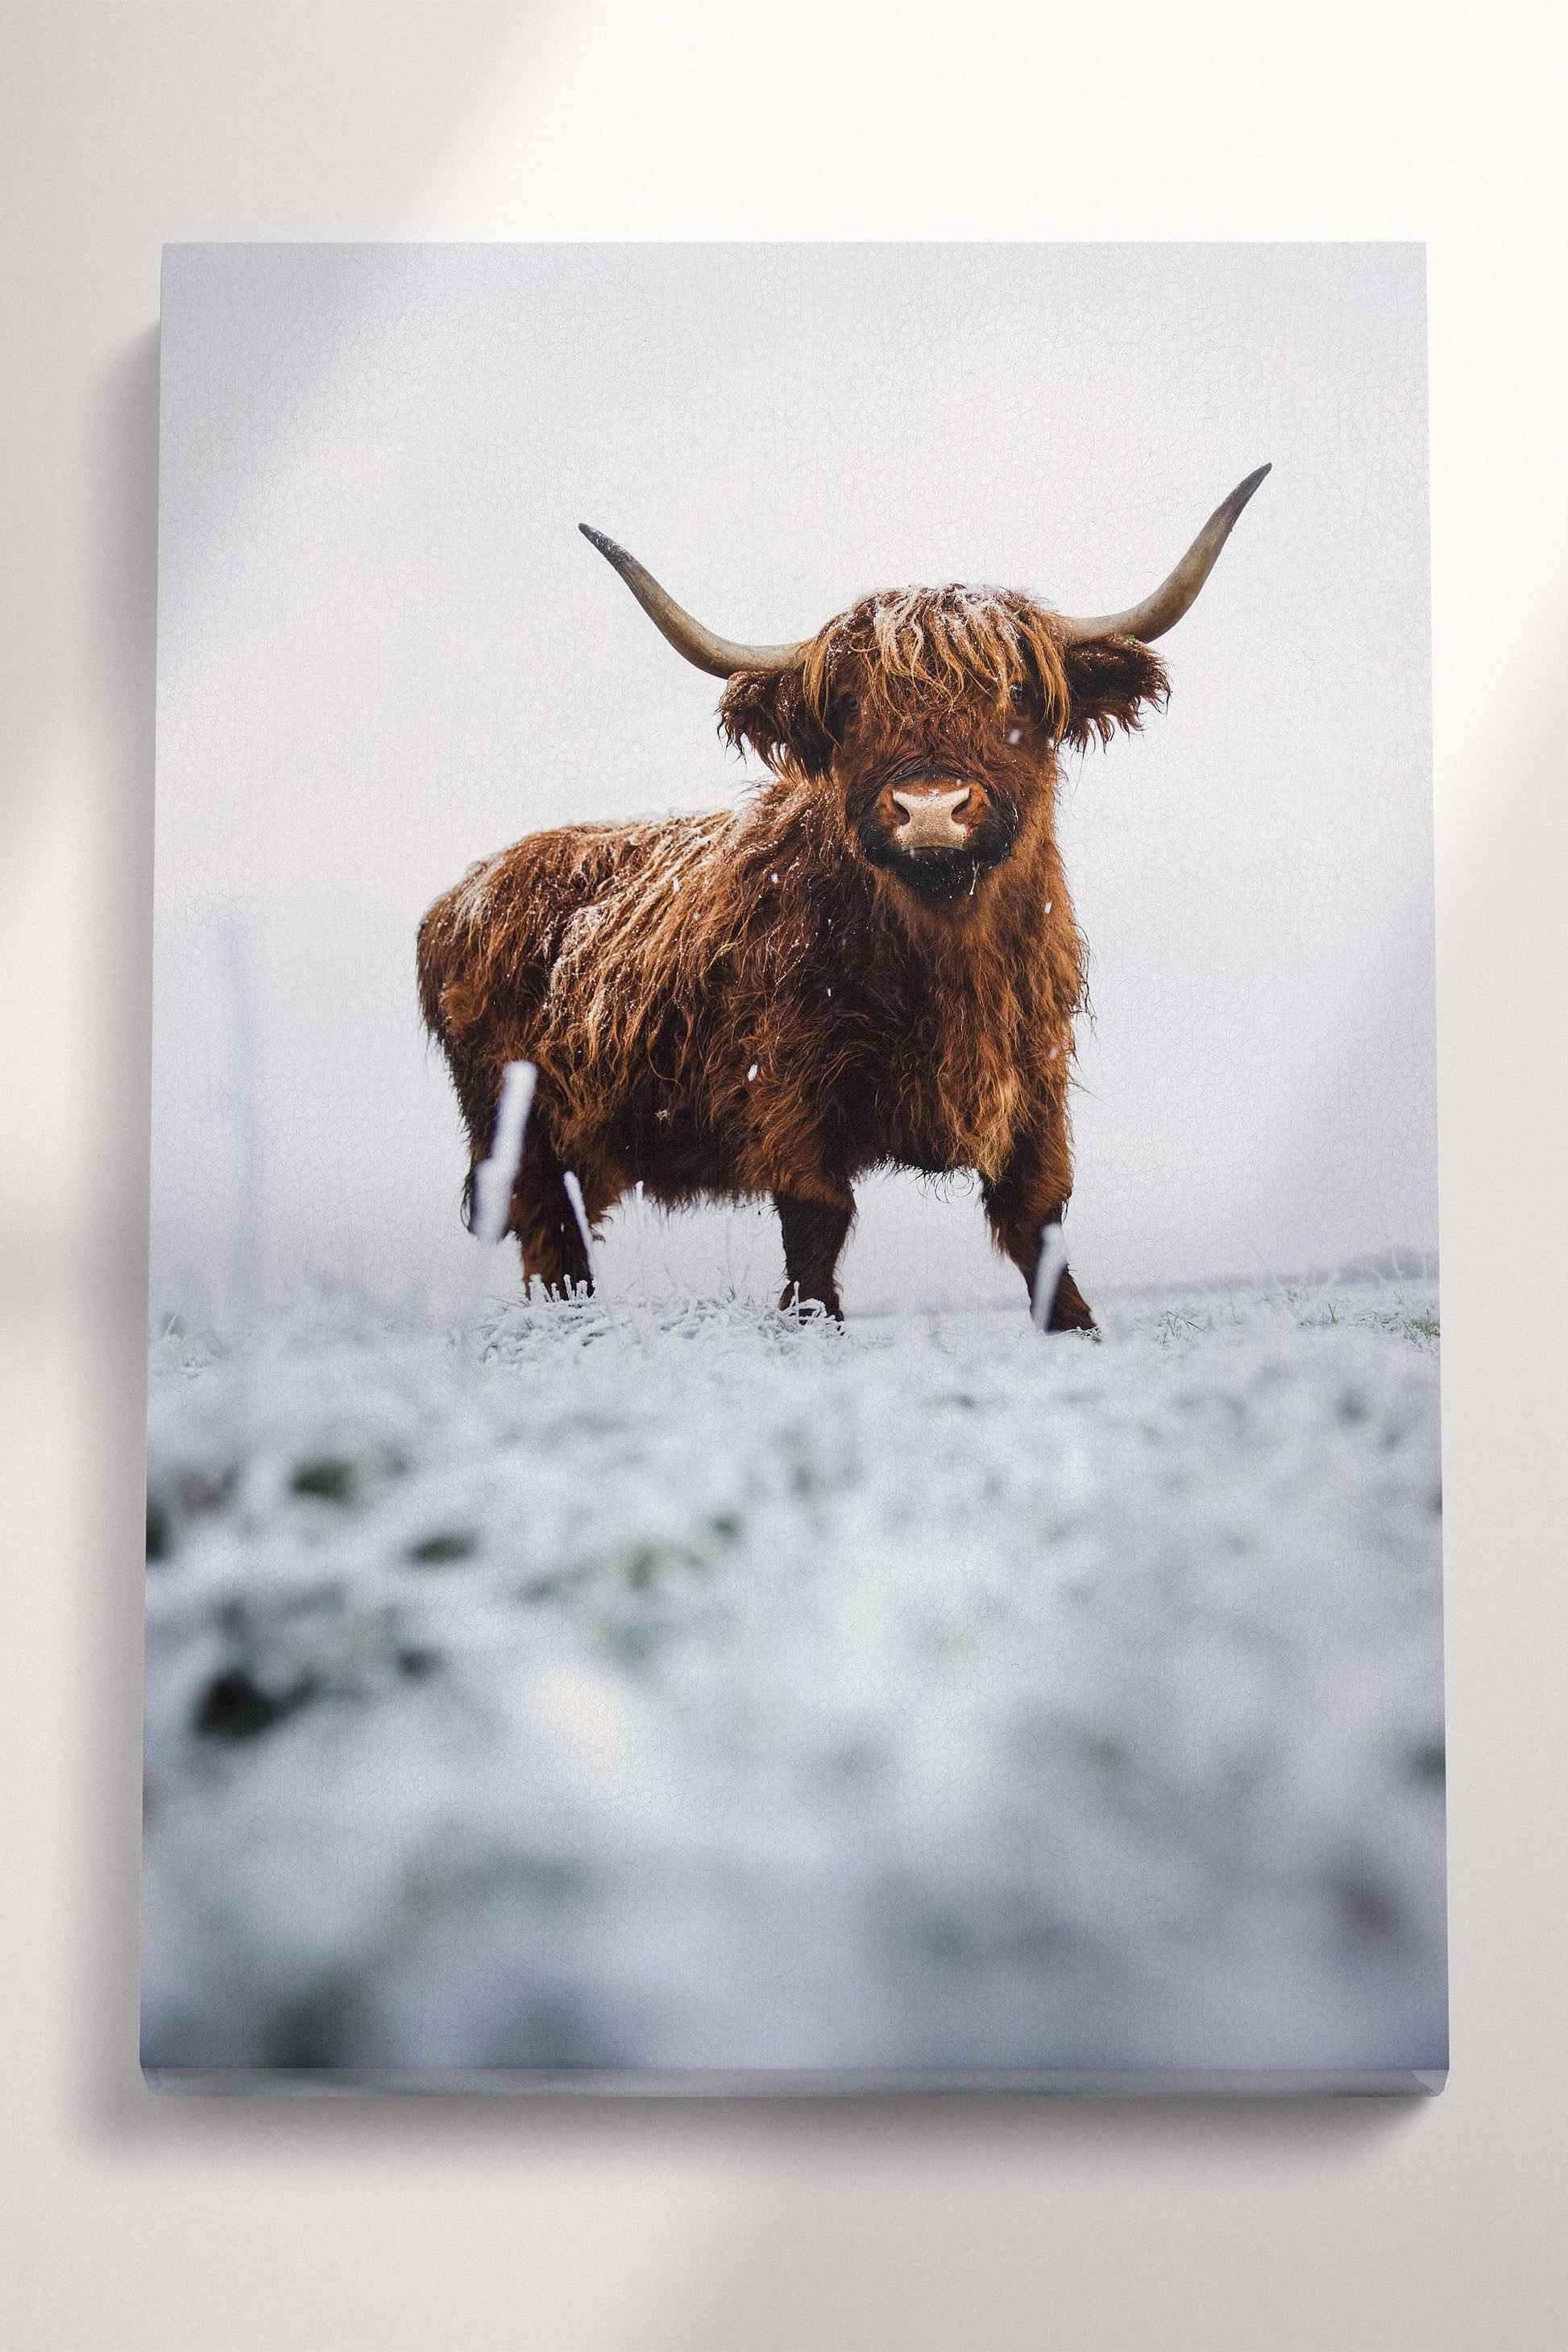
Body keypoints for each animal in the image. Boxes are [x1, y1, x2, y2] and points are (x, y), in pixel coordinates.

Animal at [417, 468, 1269, 1328]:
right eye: (853, 708)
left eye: (1018, 693)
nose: (931, 807)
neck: (943, 957)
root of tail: (464, 891)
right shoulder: (788, 1092)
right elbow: (815, 1241)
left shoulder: (1034, 1087)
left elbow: (1041, 1231)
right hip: (516, 1132)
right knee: (551, 1243)